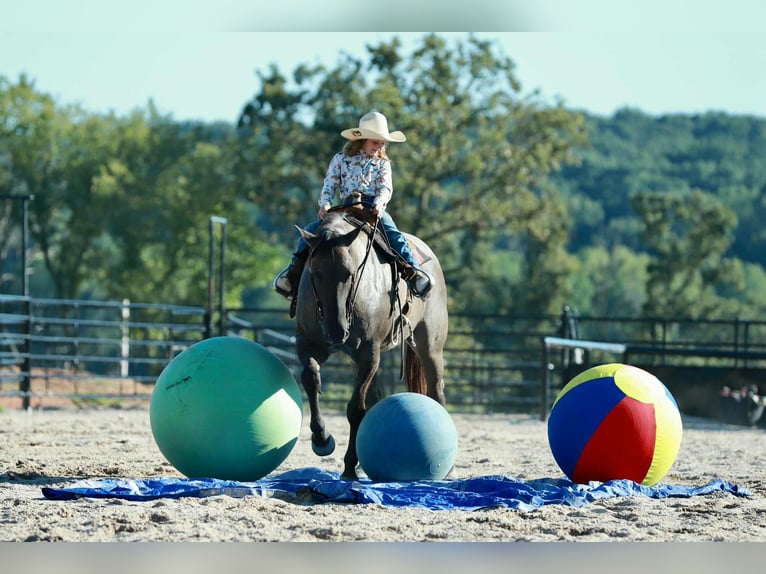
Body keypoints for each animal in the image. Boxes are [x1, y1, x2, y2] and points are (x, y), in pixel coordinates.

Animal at [293, 208, 449, 479]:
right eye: (314, 273)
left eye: (349, 273)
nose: (336, 331)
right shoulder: (309, 344)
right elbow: (311, 381)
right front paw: (322, 439)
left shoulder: (369, 353)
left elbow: (356, 409)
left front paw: (348, 467)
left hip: (429, 346)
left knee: (436, 390)